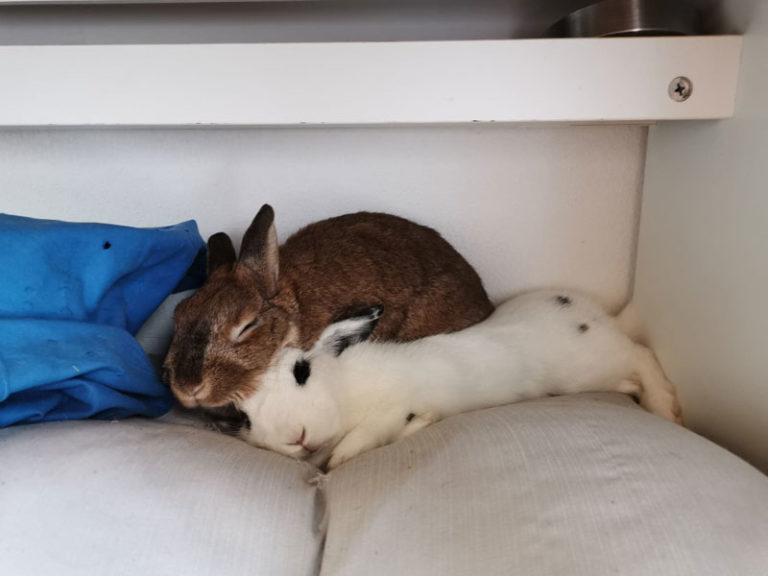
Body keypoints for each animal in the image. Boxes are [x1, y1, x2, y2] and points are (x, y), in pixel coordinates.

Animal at [234, 289, 683, 470]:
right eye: (241, 419)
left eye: (302, 372)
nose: (295, 436)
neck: (344, 389)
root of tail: (600, 316)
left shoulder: (394, 404)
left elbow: (366, 436)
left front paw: (342, 458)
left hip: (591, 365)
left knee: (642, 355)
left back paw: (667, 409)